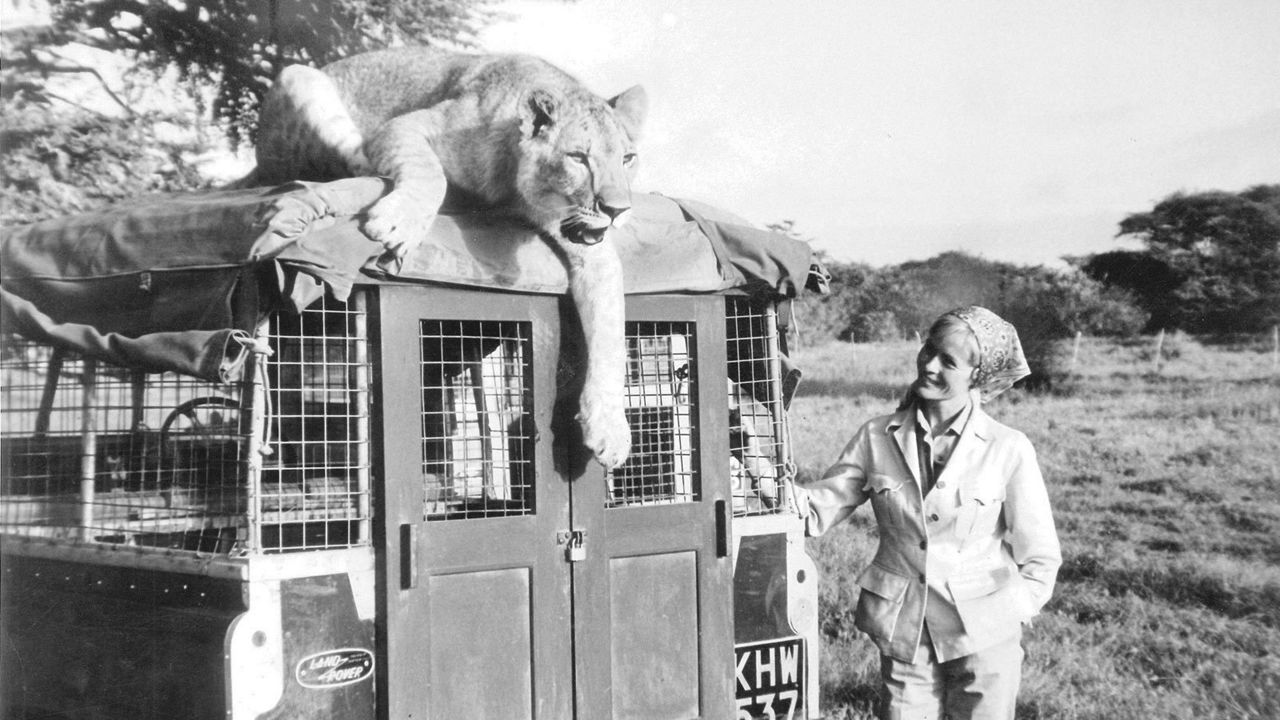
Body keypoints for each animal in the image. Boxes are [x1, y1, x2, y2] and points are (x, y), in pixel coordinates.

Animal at [250, 47, 650, 468]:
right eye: (577, 157)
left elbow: (611, 330)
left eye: (628, 158)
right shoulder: (409, 126)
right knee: (357, 163)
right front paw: (400, 222)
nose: (618, 210)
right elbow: (430, 172)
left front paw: (609, 428)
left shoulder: (587, 245)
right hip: (300, 80)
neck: (516, 191)